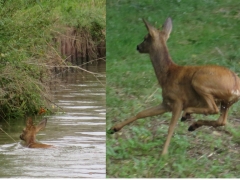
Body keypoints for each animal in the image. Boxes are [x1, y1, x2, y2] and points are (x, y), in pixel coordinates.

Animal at [109, 16, 240, 155]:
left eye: (145, 37)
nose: (138, 46)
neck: (167, 75)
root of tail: (236, 86)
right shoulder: (166, 103)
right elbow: (142, 113)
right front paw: (113, 128)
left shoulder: (178, 101)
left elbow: (171, 127)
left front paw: (163, 153)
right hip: (227, 102)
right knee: (222, 120)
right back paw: (193, 125)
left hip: (199, 82)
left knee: (213, 109)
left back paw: (187, 115)